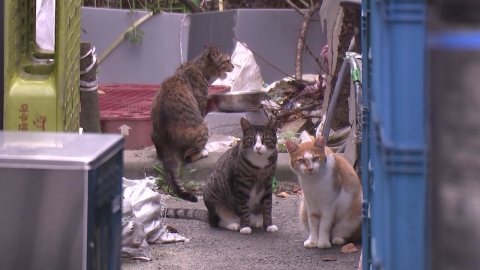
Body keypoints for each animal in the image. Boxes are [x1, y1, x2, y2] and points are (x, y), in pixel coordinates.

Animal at [150, 44, 232, 201]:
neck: (197, 65)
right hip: (204, 124)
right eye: (227, 61)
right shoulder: (201, 105)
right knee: (189, 156)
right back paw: (203, 151)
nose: (234, 66)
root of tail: (169, 147)